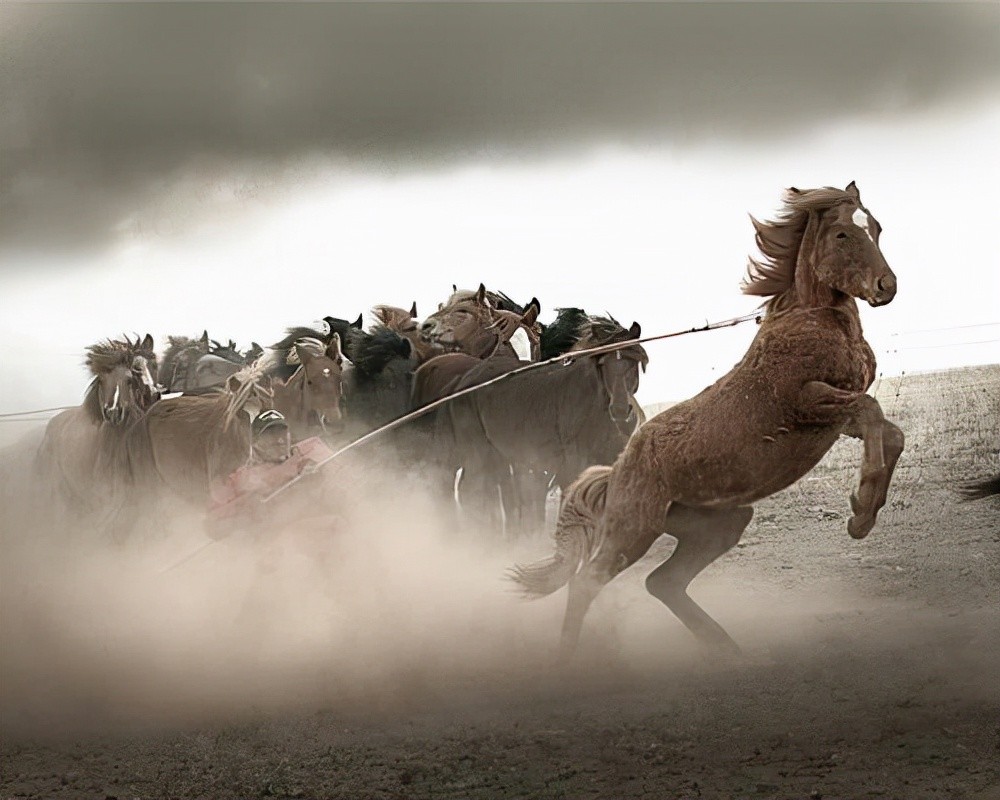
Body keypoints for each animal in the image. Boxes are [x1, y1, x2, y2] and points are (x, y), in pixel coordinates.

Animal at [512, 184, 904, 660]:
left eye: (877, 227)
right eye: (843, 234)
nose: (886, 287)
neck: (809, 323)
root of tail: (617, 471)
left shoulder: (832, 419)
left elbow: (891, 432)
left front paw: (863, 517)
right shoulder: (807, 403)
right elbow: (872, 412)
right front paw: (860, 508)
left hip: (718, 524)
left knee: (662, 582)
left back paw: (726, 648)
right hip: (632, 531)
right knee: (589, 581)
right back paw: (569, 657)